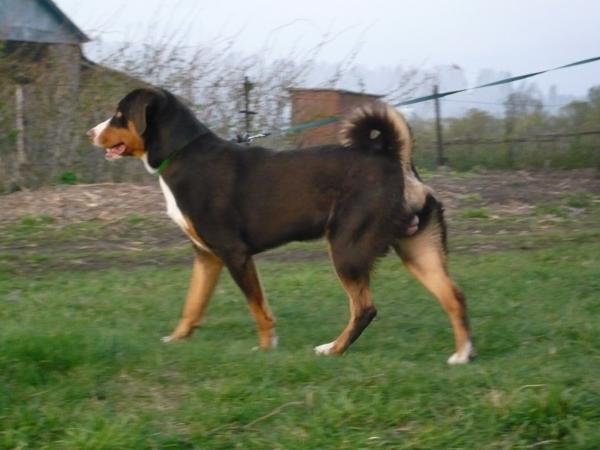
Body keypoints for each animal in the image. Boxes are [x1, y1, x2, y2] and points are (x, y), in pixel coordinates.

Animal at [88, 87, 474, 362]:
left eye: (119, 115)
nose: (91, 132)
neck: (182, 154)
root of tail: (396, 161)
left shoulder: (234, 252)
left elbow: (258, 308)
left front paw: (265, 347)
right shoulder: (206, 256)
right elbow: (193, 304)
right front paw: (177, 339)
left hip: (346, 250)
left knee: (364, 309)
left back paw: (333, 350)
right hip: (418, 249)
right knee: (453, 295)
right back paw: (462, 355)